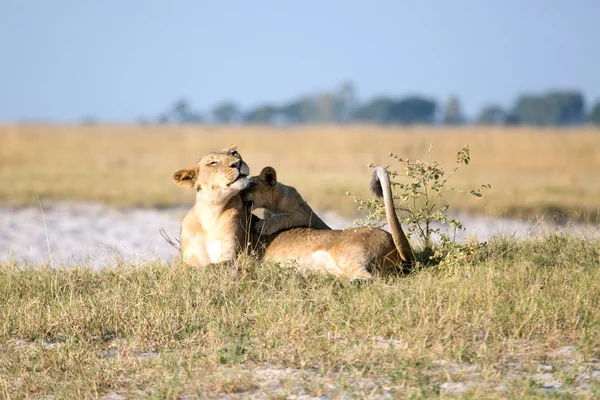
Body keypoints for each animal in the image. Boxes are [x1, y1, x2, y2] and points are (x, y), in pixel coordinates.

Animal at [241, 166, 414, 278]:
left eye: (252, 184)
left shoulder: (301, 213)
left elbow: (285, 218)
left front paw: (263, 225)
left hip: (347, 255)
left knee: (371, 279)